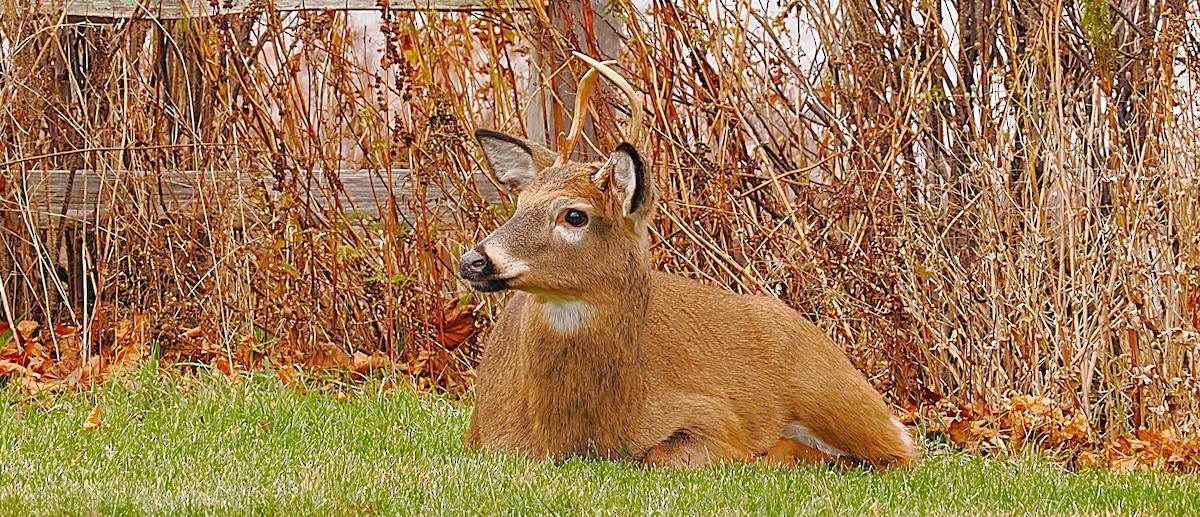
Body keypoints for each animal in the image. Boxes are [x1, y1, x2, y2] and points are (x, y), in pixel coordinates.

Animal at [458, 53, 916, 469]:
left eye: (574, 215)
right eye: (519, 205)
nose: (472, 261)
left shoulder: (712, 414)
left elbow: (663, 453)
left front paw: (753, 453)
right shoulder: (478, 436)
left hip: (833, 392)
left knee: (899, 452)